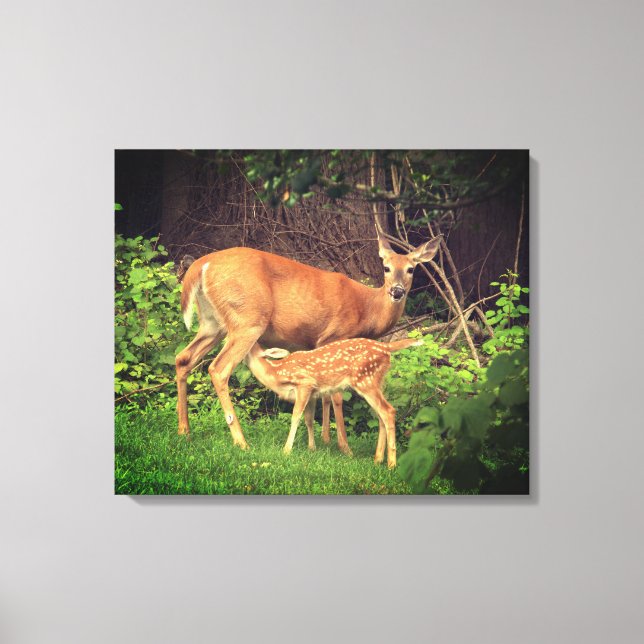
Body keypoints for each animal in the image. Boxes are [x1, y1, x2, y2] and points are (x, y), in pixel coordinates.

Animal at [175, 231, 441, 453]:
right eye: (386, 267)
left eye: (411, 269)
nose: (397, 291)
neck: (367, 309)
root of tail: (201, 265)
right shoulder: (335, 335)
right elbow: (336, 396)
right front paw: (344, 447)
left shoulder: (318, 345)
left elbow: (323, 395)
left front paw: (323, 440)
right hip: (248, 320)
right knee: (219, 369)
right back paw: (241, 441)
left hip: (213, 323)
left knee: (183, 358)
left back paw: (184, 431)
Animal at [243, 338, 423, 468]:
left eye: (250, 345)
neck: (276, 373)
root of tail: (386, 347)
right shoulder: (313, 394)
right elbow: (309, 420)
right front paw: (312, 448)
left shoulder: (305, 384)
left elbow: (295, 416)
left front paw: (286, 451)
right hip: (377, 381)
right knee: (381, 415)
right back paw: (377, 460)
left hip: (365, 380)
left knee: (388, 411)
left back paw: (391, 464)